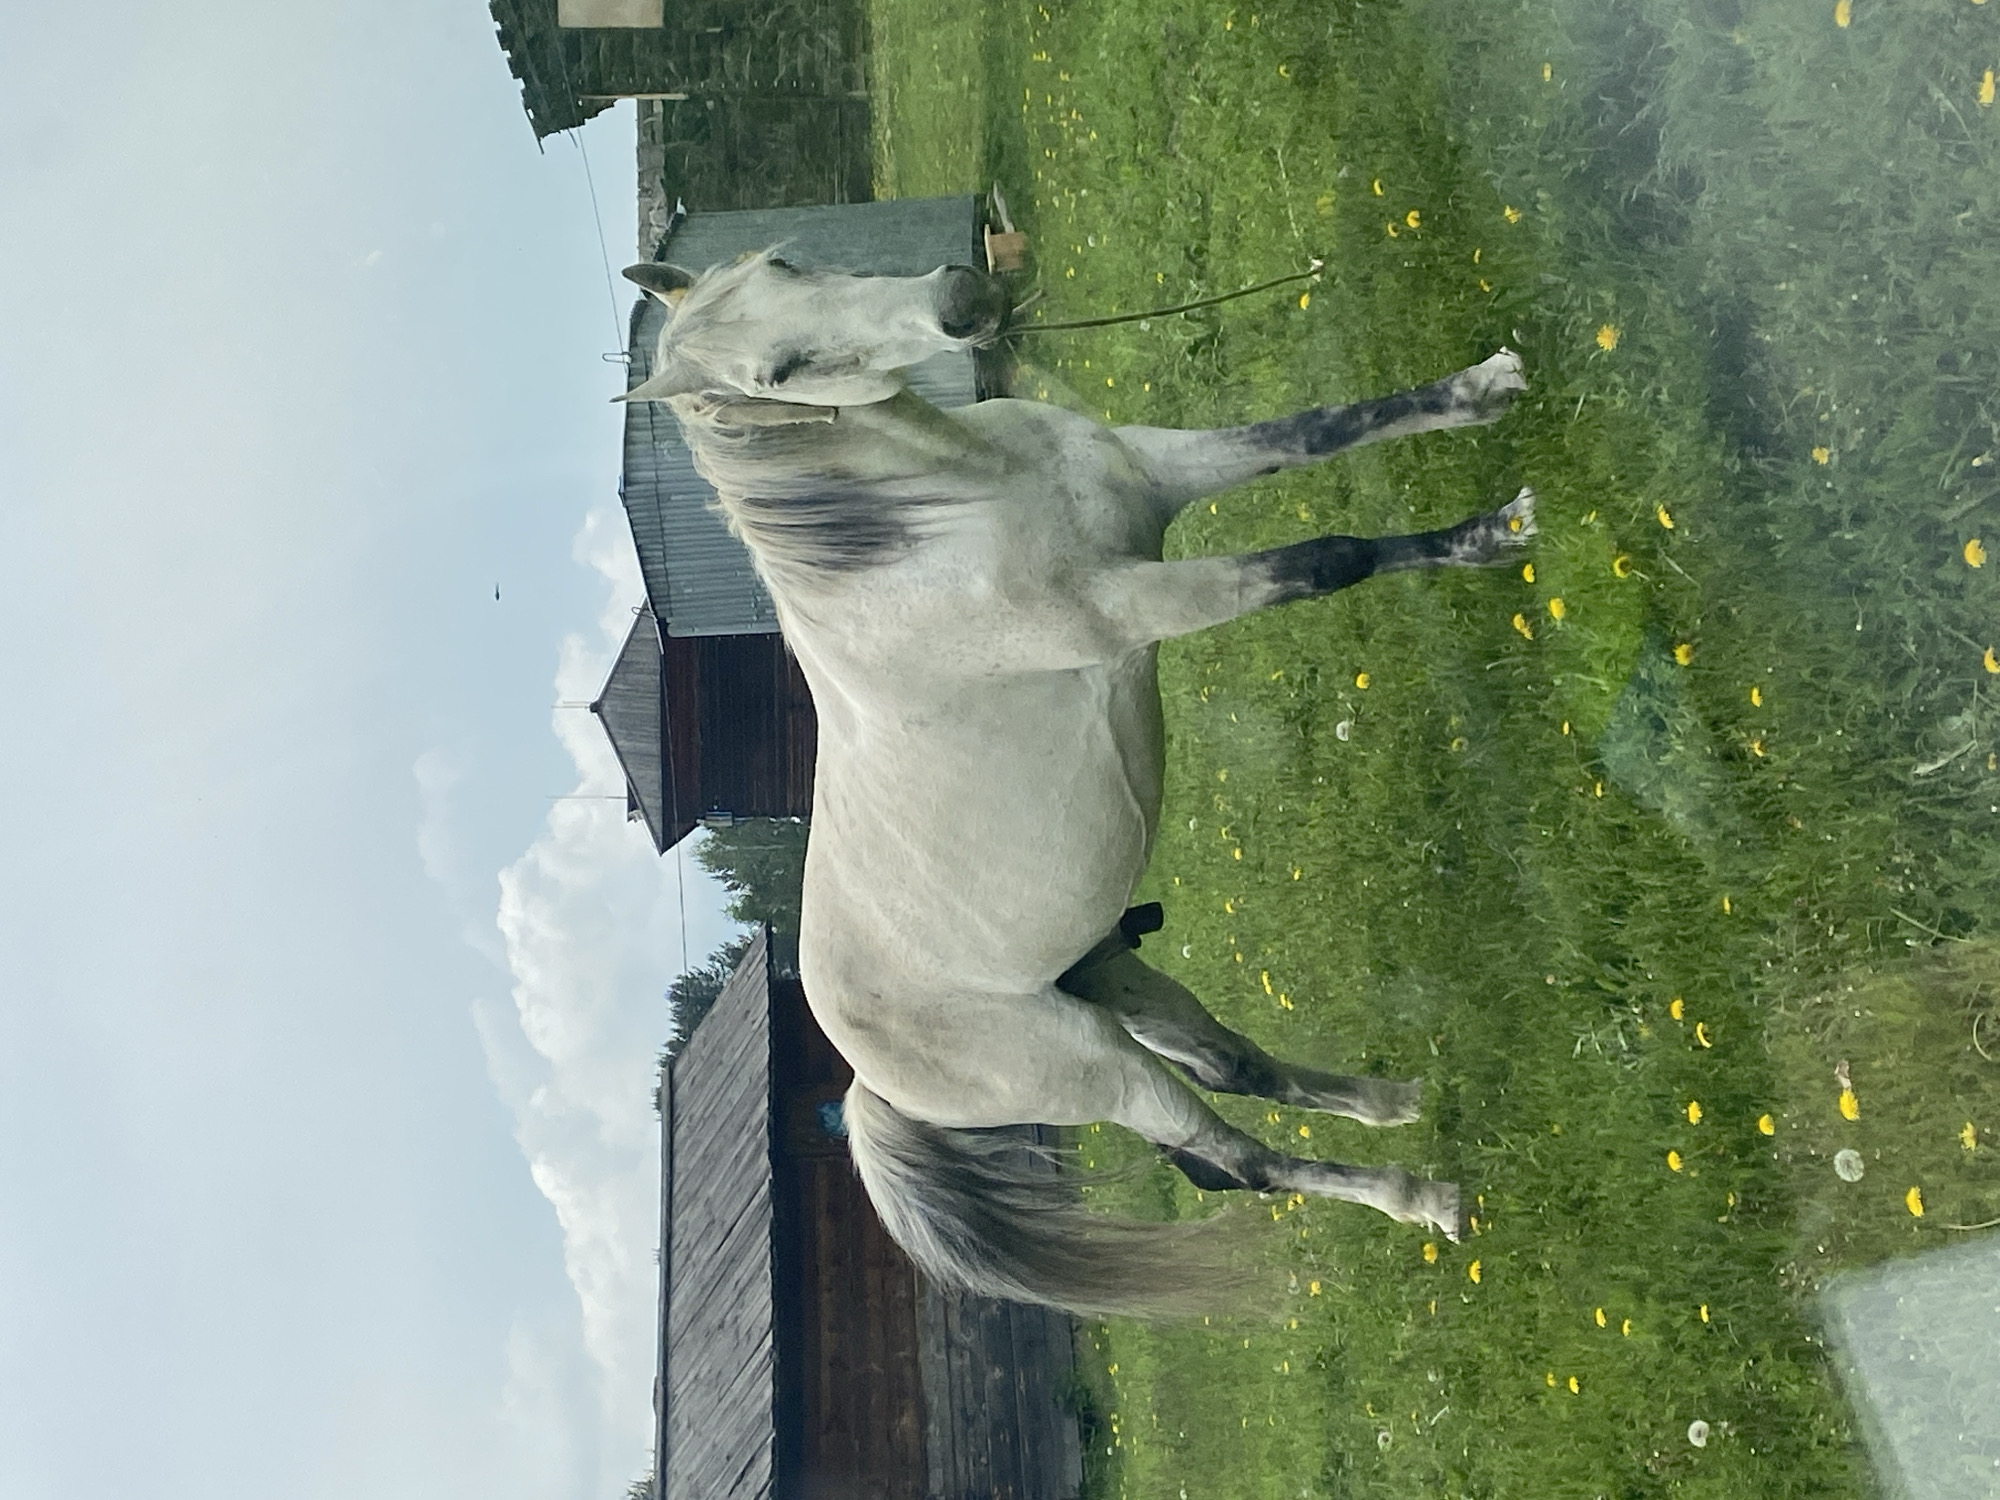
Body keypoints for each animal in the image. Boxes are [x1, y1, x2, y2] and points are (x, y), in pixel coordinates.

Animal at [620, 251, 1533, 1318]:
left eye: (785, 265)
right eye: (777, 373)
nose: (961, 300)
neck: (948, 522)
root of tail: (862, 1079)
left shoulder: (1159, 467)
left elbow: (1320, 429)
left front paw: (1487, 392)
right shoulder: (1138, 602)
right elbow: (1327, 559)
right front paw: (1496, 531)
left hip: (1114, 976)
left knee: (1238, 1068)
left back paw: (1394, 1102)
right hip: (1100, 1070)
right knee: (1236, 1159)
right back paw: (1419, 1197)